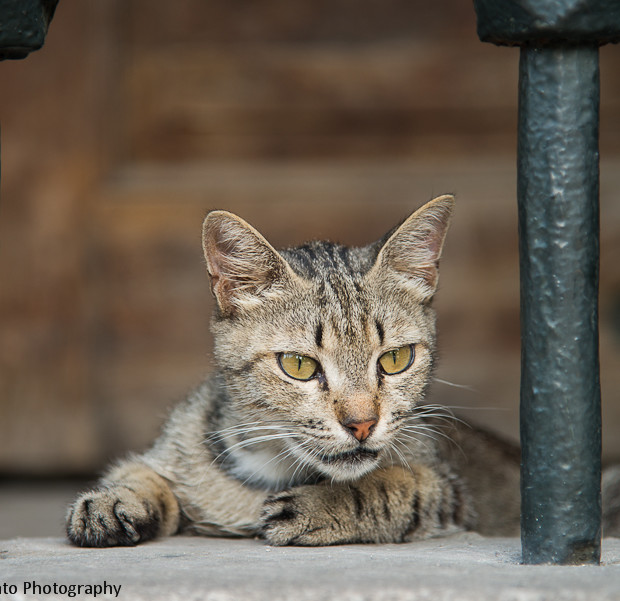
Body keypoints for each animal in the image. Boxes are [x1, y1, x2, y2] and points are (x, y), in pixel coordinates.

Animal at [66, 196, 616, 544]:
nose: (362, 423)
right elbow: (143, 469)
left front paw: (323, 504)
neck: (267, 471)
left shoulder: (450, 491)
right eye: (299, 365)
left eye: (395, 360)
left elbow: (397, 486)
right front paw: (113, 499)